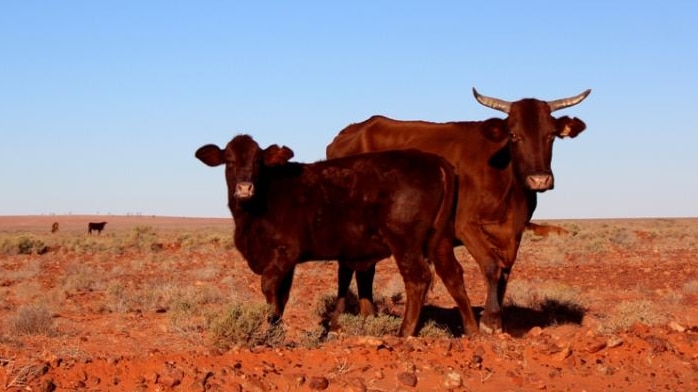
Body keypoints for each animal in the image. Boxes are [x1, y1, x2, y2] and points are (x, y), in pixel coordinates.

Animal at [196, 135, 478, 336]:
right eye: (229, 161)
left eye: (258, 161)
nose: (245, 188)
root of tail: (434, 161)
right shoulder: (285, 262)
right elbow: (281, 296)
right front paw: (275, 330)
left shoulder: (285, 252)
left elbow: (269, 287)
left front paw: (269, 331)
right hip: (440, 240)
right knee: (453, 275)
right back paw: (472, 331)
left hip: (405, 240)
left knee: (418, 278)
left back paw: (404, 333)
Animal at [326, 89, 588, 334]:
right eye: (514, 135)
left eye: (551, 135)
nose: (539, 180)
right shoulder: (466, 226)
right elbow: (492, 267)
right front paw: (489, 321)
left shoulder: (513, 232)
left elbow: (505, 272)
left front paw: (497, 320)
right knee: (346, 270)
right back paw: (341, 322)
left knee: (364, 270)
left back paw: (368, 316)